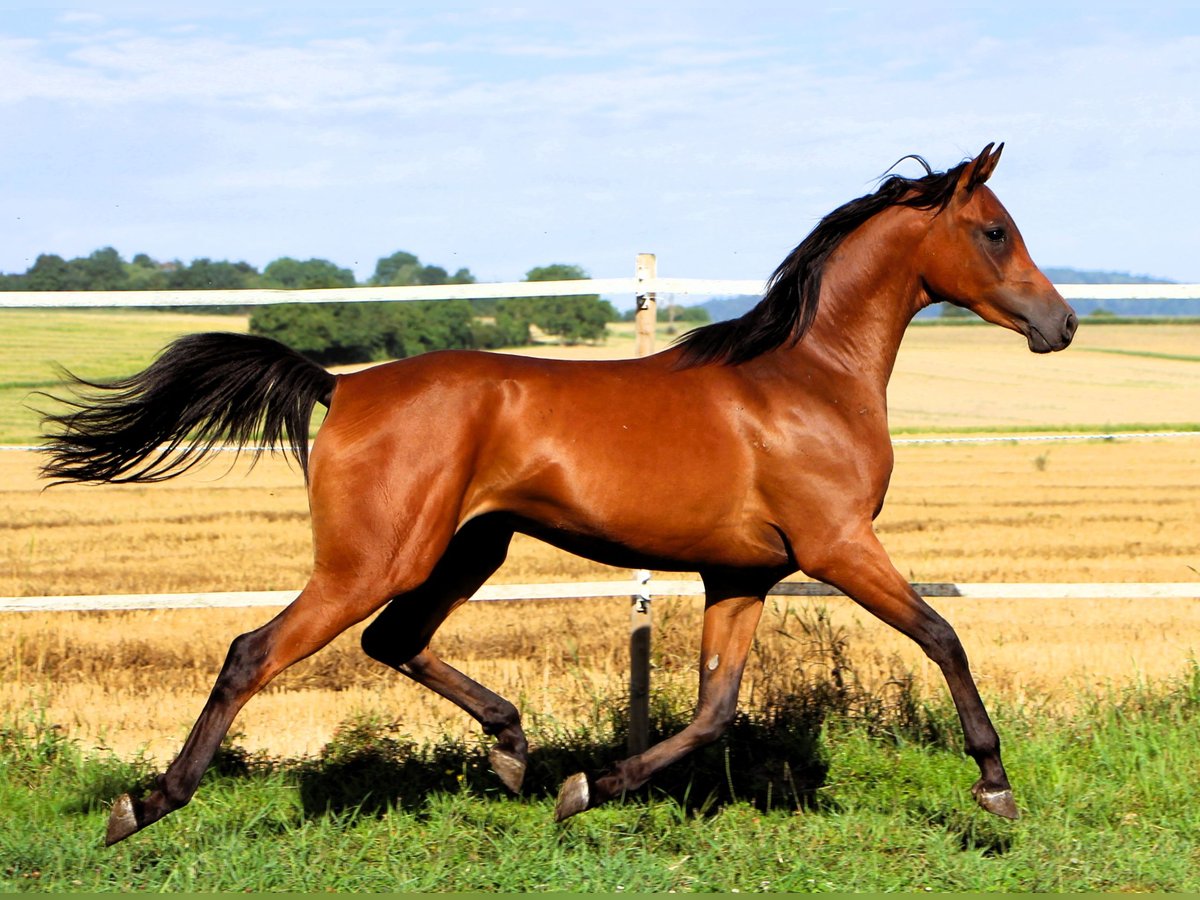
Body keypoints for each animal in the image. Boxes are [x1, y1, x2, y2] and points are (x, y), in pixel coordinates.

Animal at [40, 143, 1077, 845]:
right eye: (995, 231)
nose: (1060, 324)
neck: (807, 377)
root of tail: (344, 385)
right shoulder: (838, 546)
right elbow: (943, 635)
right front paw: (995, 785)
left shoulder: (742, 574)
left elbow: (713, 711)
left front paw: (587, 789)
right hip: (375, 559)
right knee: (255, 651)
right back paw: (145, 805)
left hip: (465, 547)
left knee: (393, 641)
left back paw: (510, 748)